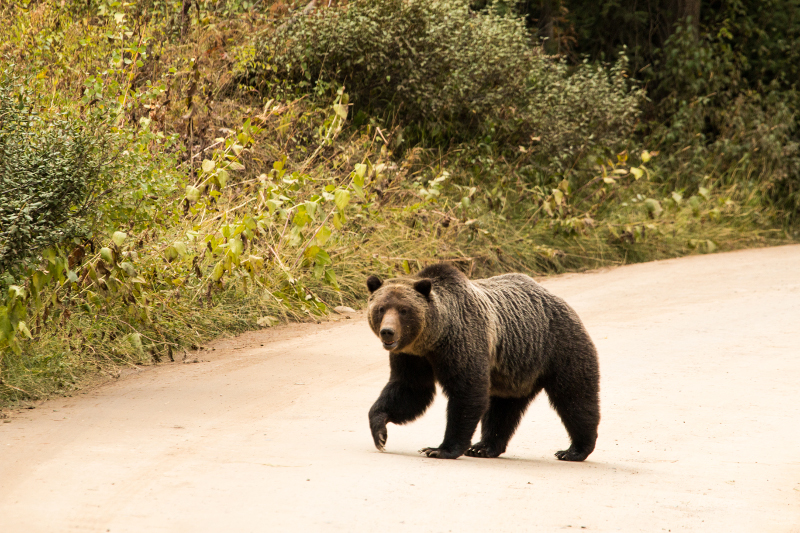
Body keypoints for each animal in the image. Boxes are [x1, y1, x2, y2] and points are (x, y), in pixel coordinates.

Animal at [368, 264, 600, 460]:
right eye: (381, 308)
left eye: (404, 310)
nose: (388, 332)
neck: (433, 339)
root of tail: (557, 299)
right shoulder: (412, 357)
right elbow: (410, 390)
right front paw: (380, 433)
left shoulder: (462, 341)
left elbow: (466, 392)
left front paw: (441, 449)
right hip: (515, 369)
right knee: (503, 409)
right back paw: (484, 447)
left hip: (558, 346)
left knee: (575, 397)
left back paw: (574, 450)